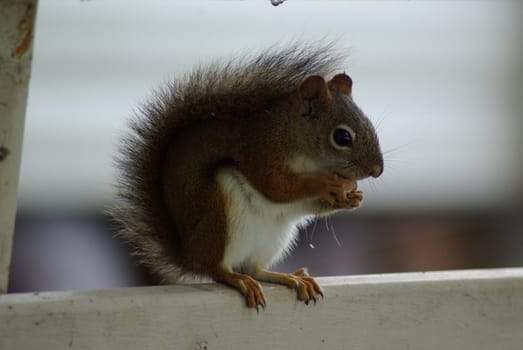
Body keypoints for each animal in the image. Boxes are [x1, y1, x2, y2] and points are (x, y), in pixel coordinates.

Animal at [112, 44, 384, 308]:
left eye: (371, 126)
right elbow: (275, 186)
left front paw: (353, 197)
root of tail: (189, 254)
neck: (291, 134)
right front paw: (325, 184)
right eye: (342, 137)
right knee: (216, 269)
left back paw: (290, 278)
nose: (376, 171)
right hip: (218, 214)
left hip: (273, 238)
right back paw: (237, 279)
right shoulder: (260, 152)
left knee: (255, 269)